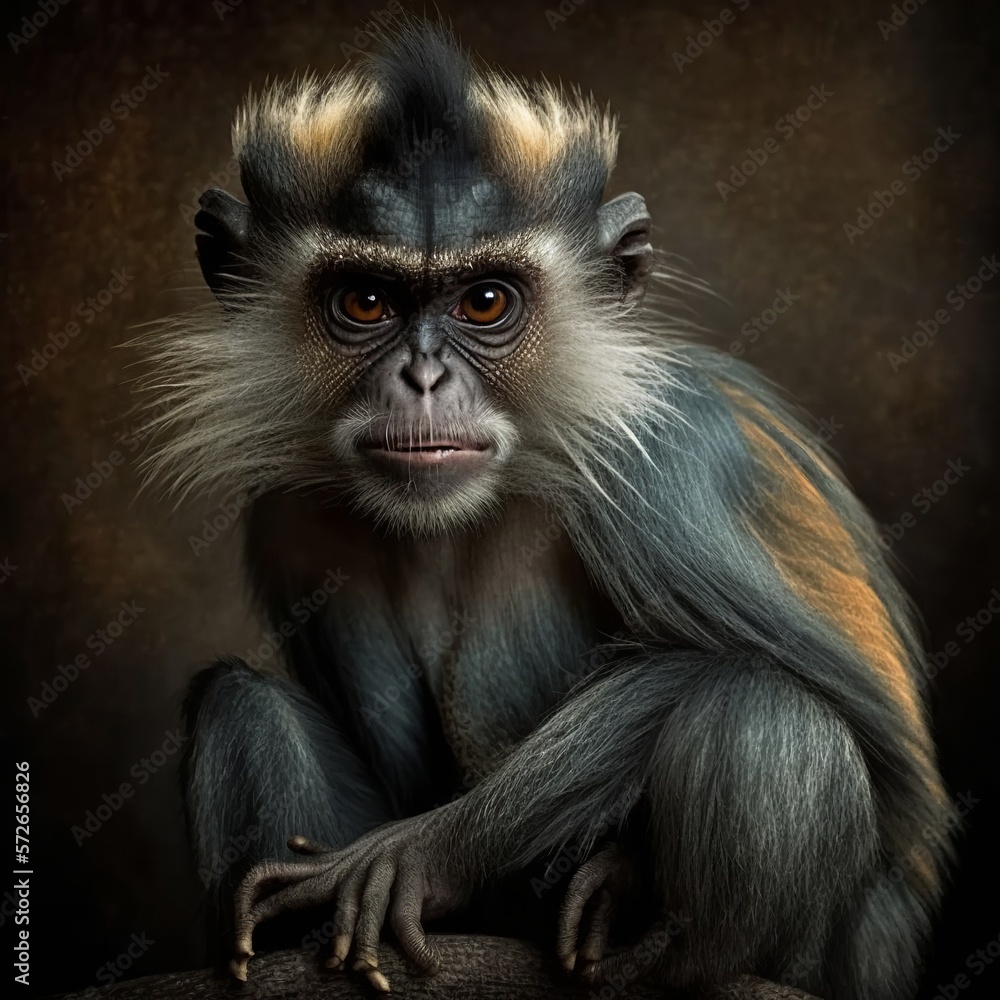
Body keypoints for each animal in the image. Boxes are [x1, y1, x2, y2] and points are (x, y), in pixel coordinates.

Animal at [144, 20, 952, 1000]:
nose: (423, 379)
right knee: (239, 700)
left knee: (761, 710)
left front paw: (430, 852)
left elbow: (870, 741)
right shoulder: (295, 517)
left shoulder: (662, 455)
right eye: (366, 301)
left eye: (485, 300)